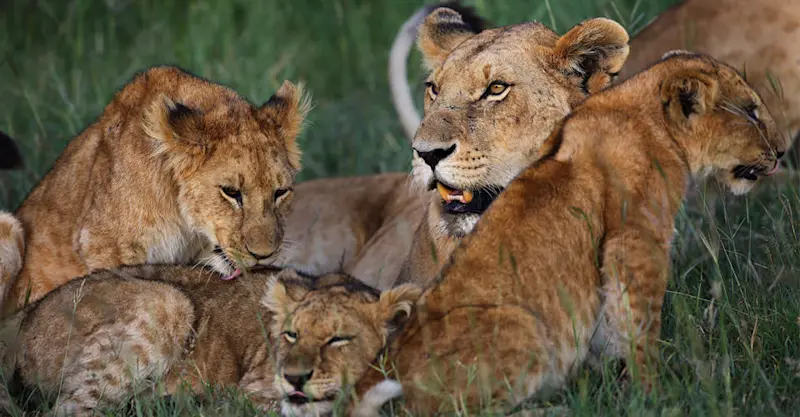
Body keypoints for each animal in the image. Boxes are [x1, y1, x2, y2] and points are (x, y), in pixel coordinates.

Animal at [0, 264, 421, 416]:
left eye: (338, 339)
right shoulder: (252, 393)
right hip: (165, 301)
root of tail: (28, 311)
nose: (294, 378)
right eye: (291, 334)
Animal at [347, 51, 789, 416]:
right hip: (523, 325)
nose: (783, 151)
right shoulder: (635, 242)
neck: (645, 116)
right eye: (751, 112)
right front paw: (654, 395)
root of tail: (375, 374)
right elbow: (639, 328)